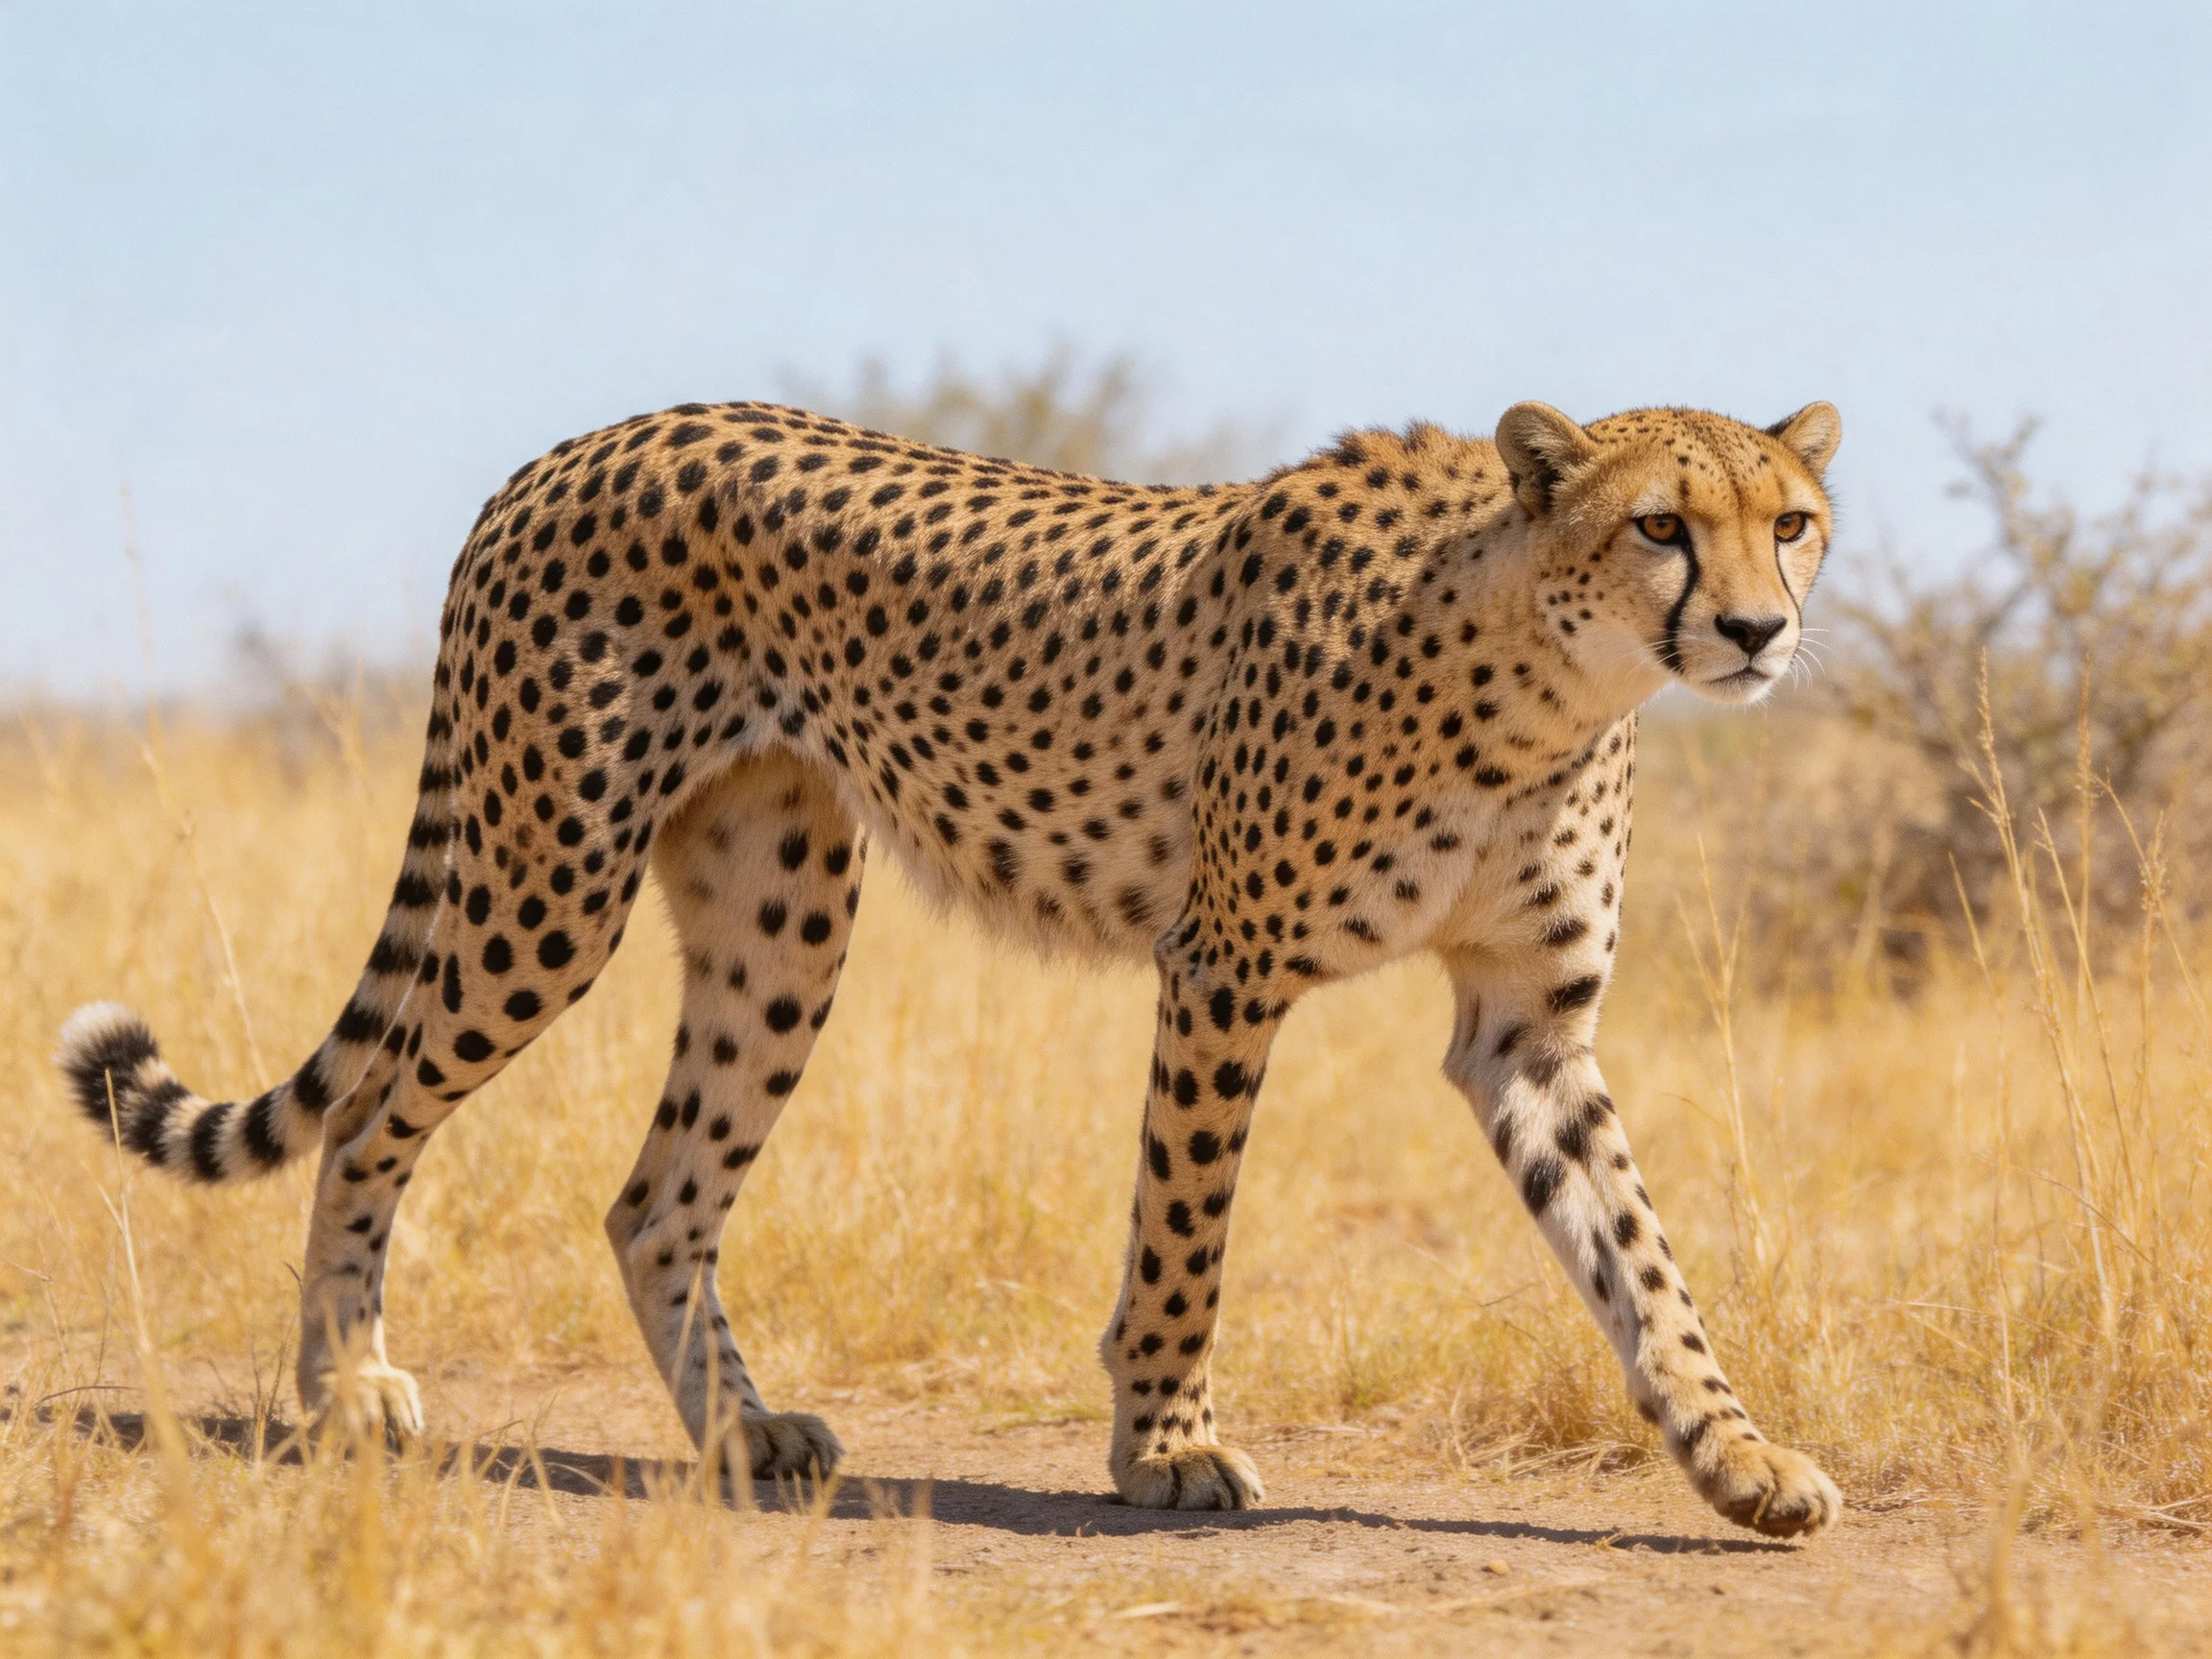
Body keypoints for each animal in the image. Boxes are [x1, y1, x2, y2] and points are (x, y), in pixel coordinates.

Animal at [58, 392, 1845, 1538]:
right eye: (1661, 526)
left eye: (1791, 524)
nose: (1757, 630)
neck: (1544, 671)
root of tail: (578, 442)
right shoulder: (1224, 968)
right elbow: (1186, 1232)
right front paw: (1166, 1447)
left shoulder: (1526, 1026)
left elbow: (1641, 1261)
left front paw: (1737, 1457)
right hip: (544, 885)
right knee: (374, 1117)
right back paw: (344, 1390)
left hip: (779, 912)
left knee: (653, 1195)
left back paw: (740, 1431)